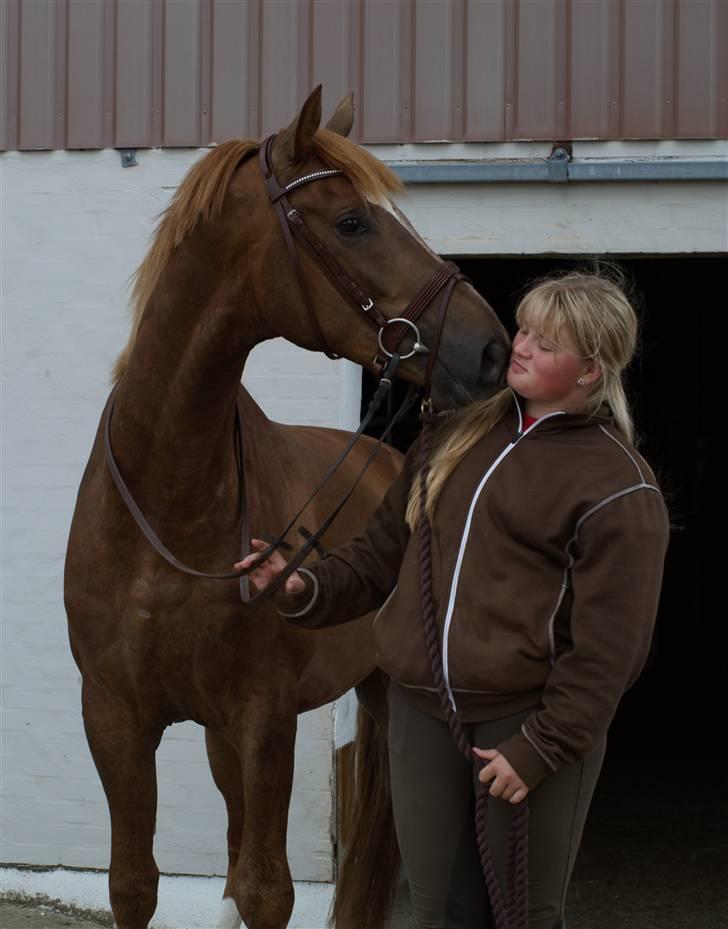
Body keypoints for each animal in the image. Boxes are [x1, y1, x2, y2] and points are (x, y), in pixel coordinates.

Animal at [64, 89, 506, 928]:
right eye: (353, 222)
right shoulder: (115, 719)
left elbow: (267, 889)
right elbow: (136, 883)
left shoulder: (263, 717)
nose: (493, 349)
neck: (169, 506)